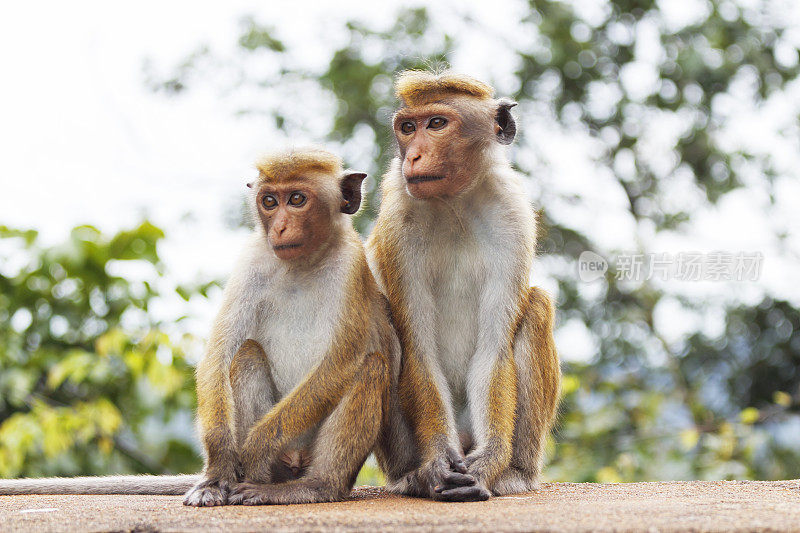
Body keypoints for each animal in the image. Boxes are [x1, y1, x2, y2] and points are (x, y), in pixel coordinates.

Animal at [0, 148, 398, 504]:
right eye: (270, 201)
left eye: (297, 199)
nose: (281, 227)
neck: (304, 264)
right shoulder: (252, 260)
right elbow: (218, 356)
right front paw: (218, 468)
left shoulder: (352, 266)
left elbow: (341, 362)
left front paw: (257, 446)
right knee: (247, 354)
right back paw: (242, 477)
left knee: (371, 367)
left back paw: (312, 486)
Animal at [368, 72, 564, 500]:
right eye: (408, 128)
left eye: (437, 124)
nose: (413, 157)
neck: (452, 201)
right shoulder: (398, 221)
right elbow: (419, 350)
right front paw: (437, 464)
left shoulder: (512, 215)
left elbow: (493, 350)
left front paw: (489, 462)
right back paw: (413, 477)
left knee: (536, 306)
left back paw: (514, 473)